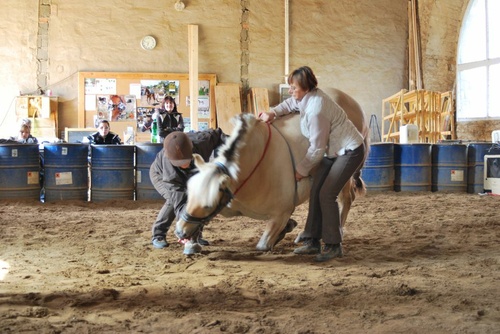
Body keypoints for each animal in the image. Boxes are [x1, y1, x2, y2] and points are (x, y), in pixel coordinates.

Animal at [175, 88, 368, 250]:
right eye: (189, 194)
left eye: (207, 205)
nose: (179, 231)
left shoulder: (281, 212)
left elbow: (263, 244)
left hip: (344, 174)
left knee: (345, 198)